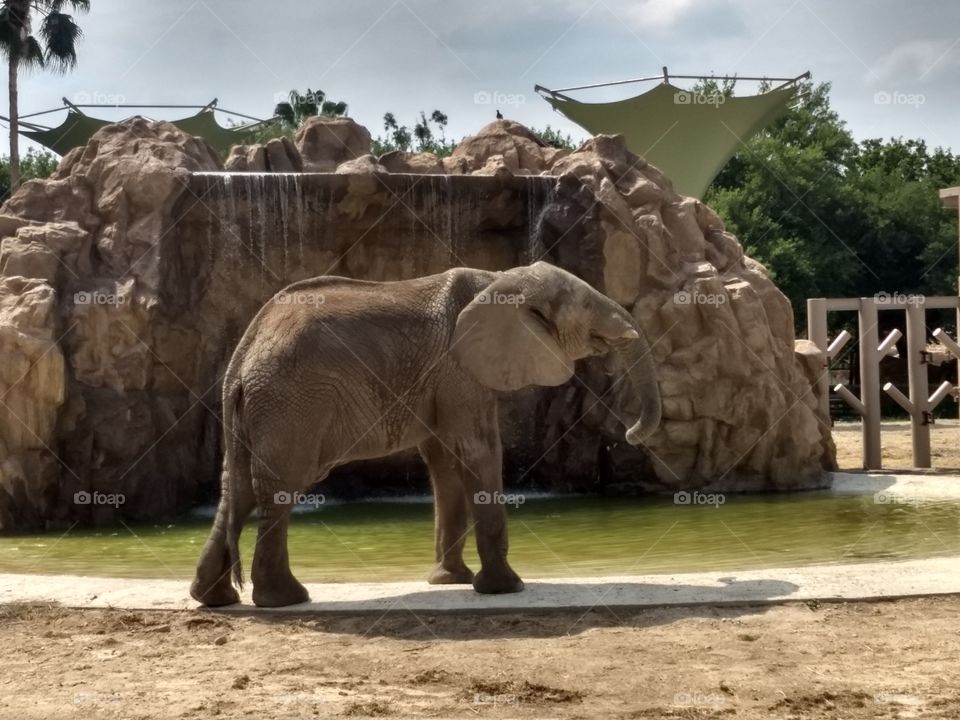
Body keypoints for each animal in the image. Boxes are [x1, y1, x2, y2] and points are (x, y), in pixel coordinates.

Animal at [190, 261, 661, 607]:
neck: (502, 278)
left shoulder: (448, 378)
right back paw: (285, 599)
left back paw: (214, 599)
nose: (630, 434)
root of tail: (243, 356)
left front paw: (451, 581)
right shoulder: (458, 369)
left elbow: (445, 462)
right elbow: (478, 451)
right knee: (281, 485)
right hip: (292, 405)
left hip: (261, 411)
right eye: (586, 306)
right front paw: (506, 588)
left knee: (237, 488)